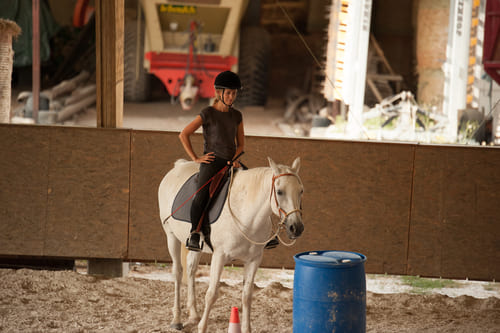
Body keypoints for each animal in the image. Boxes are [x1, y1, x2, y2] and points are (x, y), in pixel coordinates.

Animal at [158, 156, 302, 332]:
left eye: (301, 191)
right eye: (280, 191)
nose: (297, 227)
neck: (245, 215)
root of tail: (179, 166)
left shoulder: (254, 260)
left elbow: (247, 296)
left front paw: (247, 329)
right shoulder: (219, 256)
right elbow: (211, 294)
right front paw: (202, 327)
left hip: (195, 245)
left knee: (191, 269)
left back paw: (194, 314)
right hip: (171, 236)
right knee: (178, 272)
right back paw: (177, 319)